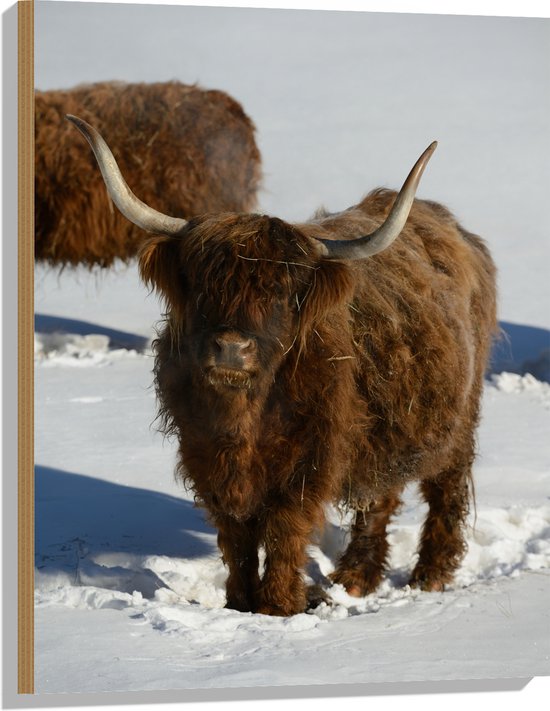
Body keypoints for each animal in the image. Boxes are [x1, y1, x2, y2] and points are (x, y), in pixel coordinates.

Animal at [68, 115, 500, 616]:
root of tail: (454, 229)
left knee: (445, 488)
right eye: (202, 285)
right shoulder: (206, 457)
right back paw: (355, 579)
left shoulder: (309, 461)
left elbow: (283, 529)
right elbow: (235, 536)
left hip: (459, 418)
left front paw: (277, 606)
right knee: (378, 497)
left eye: (280, 292)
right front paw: (239, 603)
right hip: (382, 428)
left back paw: (429, 576)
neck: (244, 421)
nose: (231, 348)